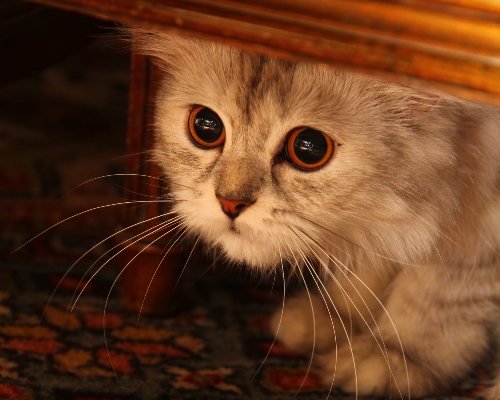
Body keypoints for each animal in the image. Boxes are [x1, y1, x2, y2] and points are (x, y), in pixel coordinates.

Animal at [132, 29, 500, 398]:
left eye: (309, 148)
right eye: (206, 128)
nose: (229, 203)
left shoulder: (479, 214)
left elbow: (439, 290)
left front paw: (395, 355)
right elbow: (369, 266)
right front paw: (335, 318)